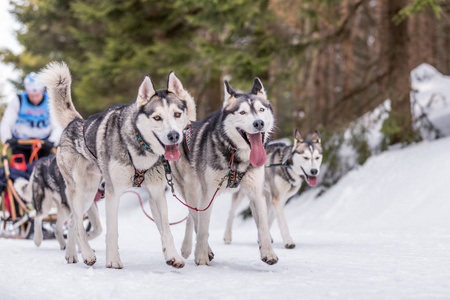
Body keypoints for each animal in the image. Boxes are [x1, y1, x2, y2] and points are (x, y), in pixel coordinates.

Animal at [40, 62, 197, 268]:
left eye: (177, 114)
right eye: (157, 117)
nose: (174, 136)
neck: (138, 146)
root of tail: (76, 122)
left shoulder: (156, 193)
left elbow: (166, 229)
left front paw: (173, 256)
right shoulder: (113, 193)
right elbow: (112, 231)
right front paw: (113, 261)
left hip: (90, 194)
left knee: (74, 220)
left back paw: (72, 254)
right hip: (81, 190)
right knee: (78, 222)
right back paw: (87, 254)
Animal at [171, 77, 278, 264]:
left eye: (261, 109)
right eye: (242, 112)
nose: (259, 123)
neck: (235, 156)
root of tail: (185, 126)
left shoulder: (256, 193)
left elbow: (263, 227)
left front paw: (268, 253)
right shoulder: (208, 194)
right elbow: (203, 228)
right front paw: (201, 257)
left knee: (191, 217)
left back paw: (187, 247)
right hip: (191, 190)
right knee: (195, 218)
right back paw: (201, 250)